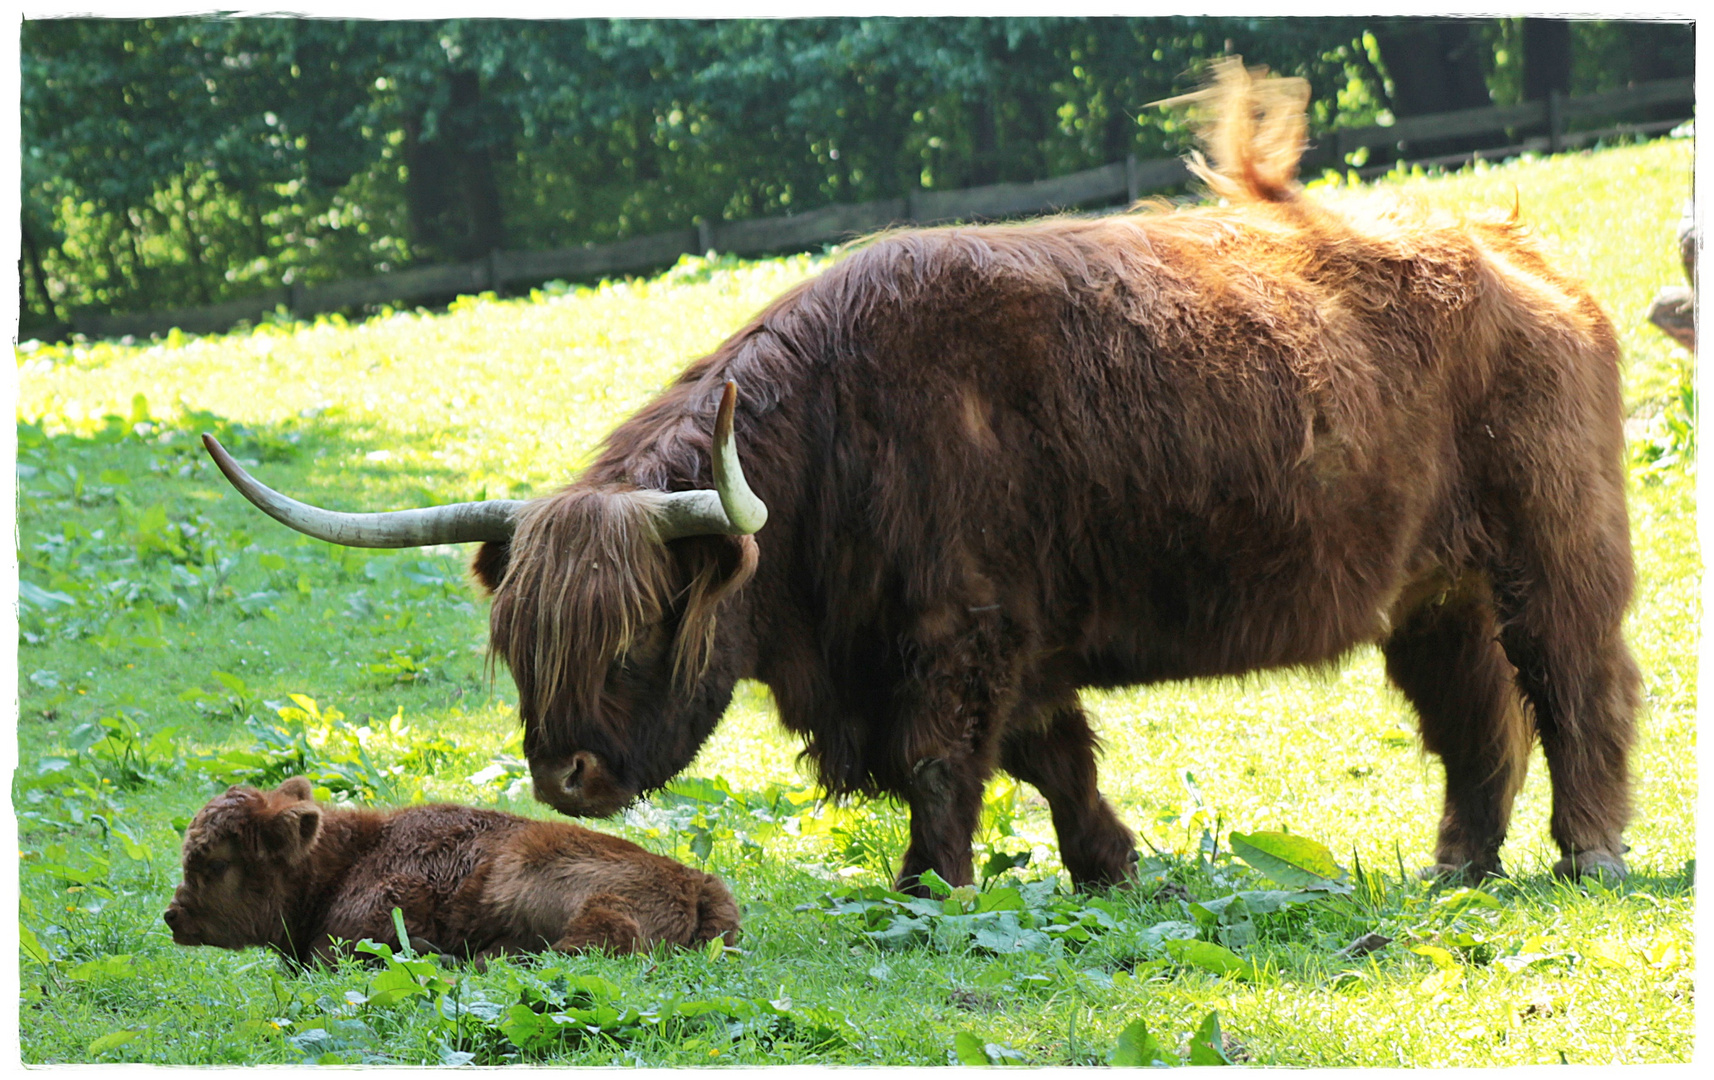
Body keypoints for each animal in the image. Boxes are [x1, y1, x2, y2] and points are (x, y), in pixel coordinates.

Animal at [197, 63, 1631, 898]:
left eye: (642, 627)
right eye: (518, 642)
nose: (568, 779)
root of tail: (1511, 248)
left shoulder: (956, 633)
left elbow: (950, 766)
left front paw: (929, 887)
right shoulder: (1014, 638)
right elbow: (1054, 758)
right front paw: (1109, 869)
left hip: (1551, 547)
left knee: (1576, 687)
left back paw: (1590, 852)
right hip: (1428, 589)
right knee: (1471, 722)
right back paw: (1458, 869)